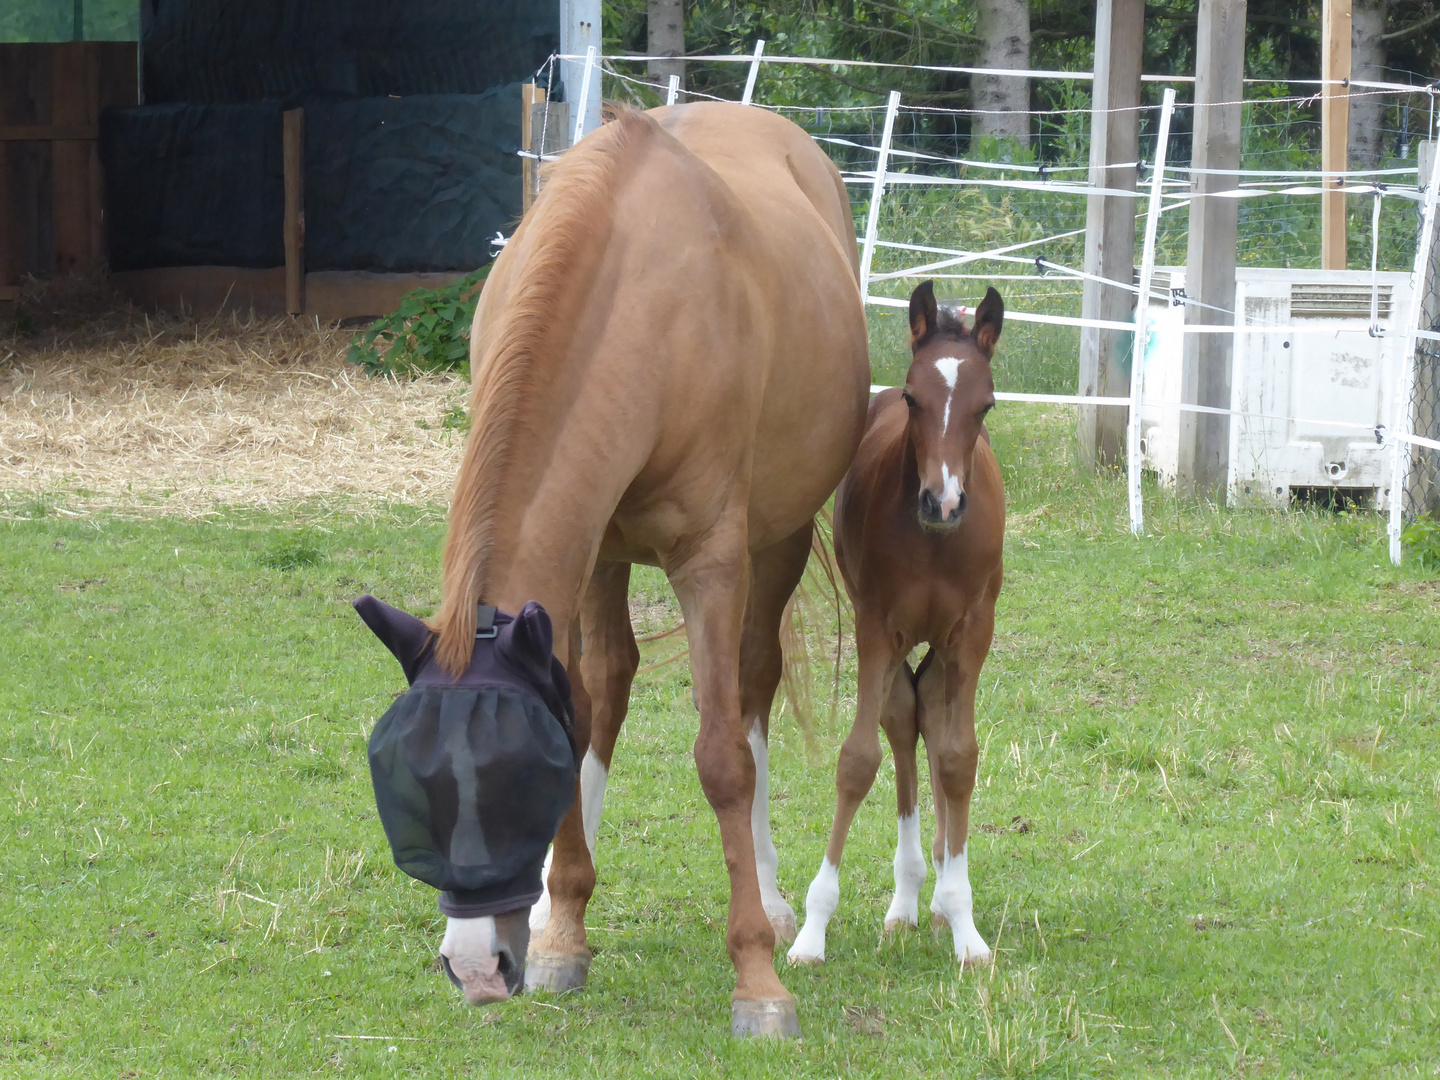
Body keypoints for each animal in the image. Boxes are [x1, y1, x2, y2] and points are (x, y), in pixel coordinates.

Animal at [429, 103, 864, 1042]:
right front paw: (564, 929)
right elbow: (582, 712)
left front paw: (757, 979)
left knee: (754, 690)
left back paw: (772, 897)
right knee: (612, 687)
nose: (476, 969)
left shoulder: (711, 563)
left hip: (776, 544)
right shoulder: (587, 555)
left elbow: (723, 757)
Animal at [789, 283, 1002, 967]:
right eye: (913, 397)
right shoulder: (877, 627)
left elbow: (959, 758)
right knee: (903, 717)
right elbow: (859, 759)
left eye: (986, 405)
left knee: (929, 712)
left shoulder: (973, 631)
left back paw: (933, 897)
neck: (934, 543)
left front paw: (964, 924)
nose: (943, 501)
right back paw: (906, 900)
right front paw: (811, 930)